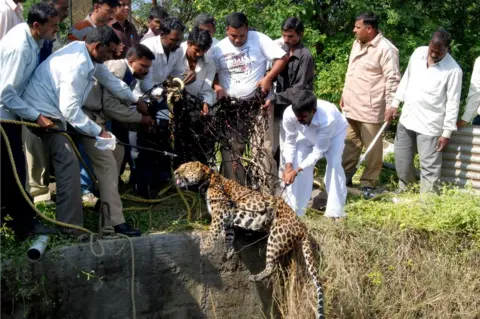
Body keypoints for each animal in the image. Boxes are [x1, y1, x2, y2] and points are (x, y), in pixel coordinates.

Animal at [173, 162, 326, 319]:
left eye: (185, 168)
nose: (175, 172)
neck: (208, 180)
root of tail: (302, 226)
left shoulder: (219, 213)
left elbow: (213, 231)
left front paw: (207, 248)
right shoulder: (228, 219)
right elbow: (229, 236)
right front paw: (229, 252)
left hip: (276, 237)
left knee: (271, 267)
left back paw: (255, 277)